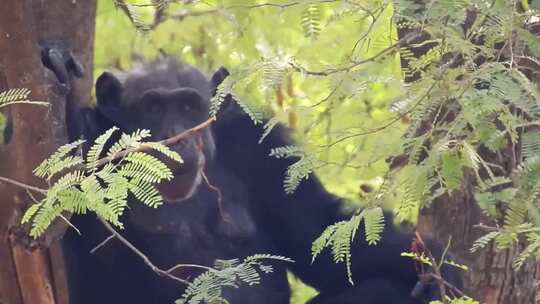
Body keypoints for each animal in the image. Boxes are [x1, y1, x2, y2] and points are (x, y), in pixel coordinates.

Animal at [43, 50, 460, 304]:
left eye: (189, 106)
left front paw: (434, 264)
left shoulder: (260, 147)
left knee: (382, 290)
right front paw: (57, 67)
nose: (177, 134)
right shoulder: (95, 141)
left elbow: (314, 233)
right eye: (154, 107)